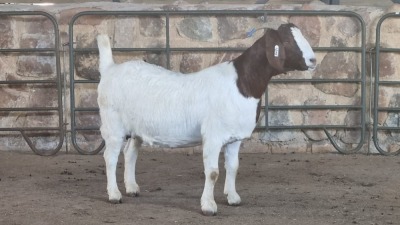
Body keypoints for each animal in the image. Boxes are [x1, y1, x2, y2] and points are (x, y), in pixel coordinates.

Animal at [96, 23, 316, 216]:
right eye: (287, 41)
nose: (313, 60)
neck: (242, 83)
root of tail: (110, 69)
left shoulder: (235, 138)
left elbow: (233, 167)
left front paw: (233, 198)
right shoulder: (213, 135)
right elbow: (212, 172)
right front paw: (209, 206)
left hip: (136, 129)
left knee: (130, 152)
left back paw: (132, 188)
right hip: (113, 125)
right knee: (110, 156)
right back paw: (114, 194)